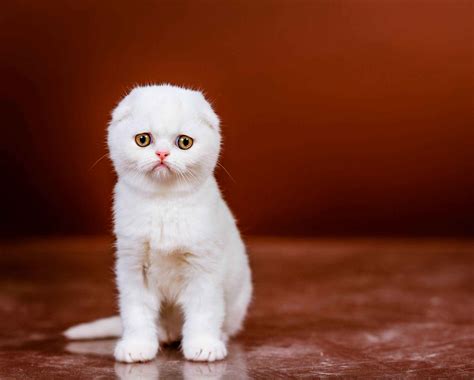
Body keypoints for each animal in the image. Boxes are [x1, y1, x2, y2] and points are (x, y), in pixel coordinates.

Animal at [65, 84, 256, 364]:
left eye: (184, 142)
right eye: (143, 139)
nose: (162, 154)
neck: (163, 204)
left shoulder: (204, 266)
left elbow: (204, 311)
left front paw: (203, 345)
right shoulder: (133, 266)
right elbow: (136, 313)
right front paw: (137, 346)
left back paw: (214, 337)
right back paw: (163, 335)